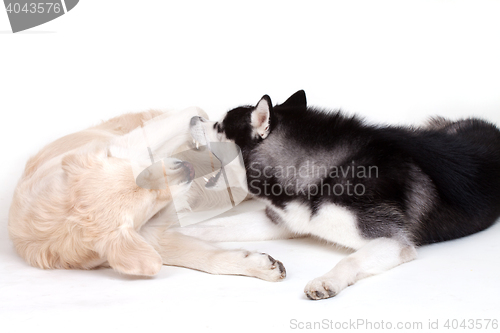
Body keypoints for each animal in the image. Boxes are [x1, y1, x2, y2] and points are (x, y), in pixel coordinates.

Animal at [8, 107, 286, 280]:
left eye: (143, 170)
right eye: (154, 201)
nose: (187, 169)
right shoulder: (149, 239)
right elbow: (201, 256)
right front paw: (254, 263)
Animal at [189, 90, 500, 298]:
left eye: (218, 126)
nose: (193, 119)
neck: (323, 171)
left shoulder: (392, 240)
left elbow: (351, 258)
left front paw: (327, 281)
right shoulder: (285, 220)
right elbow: (215, 226)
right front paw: (183, 234)